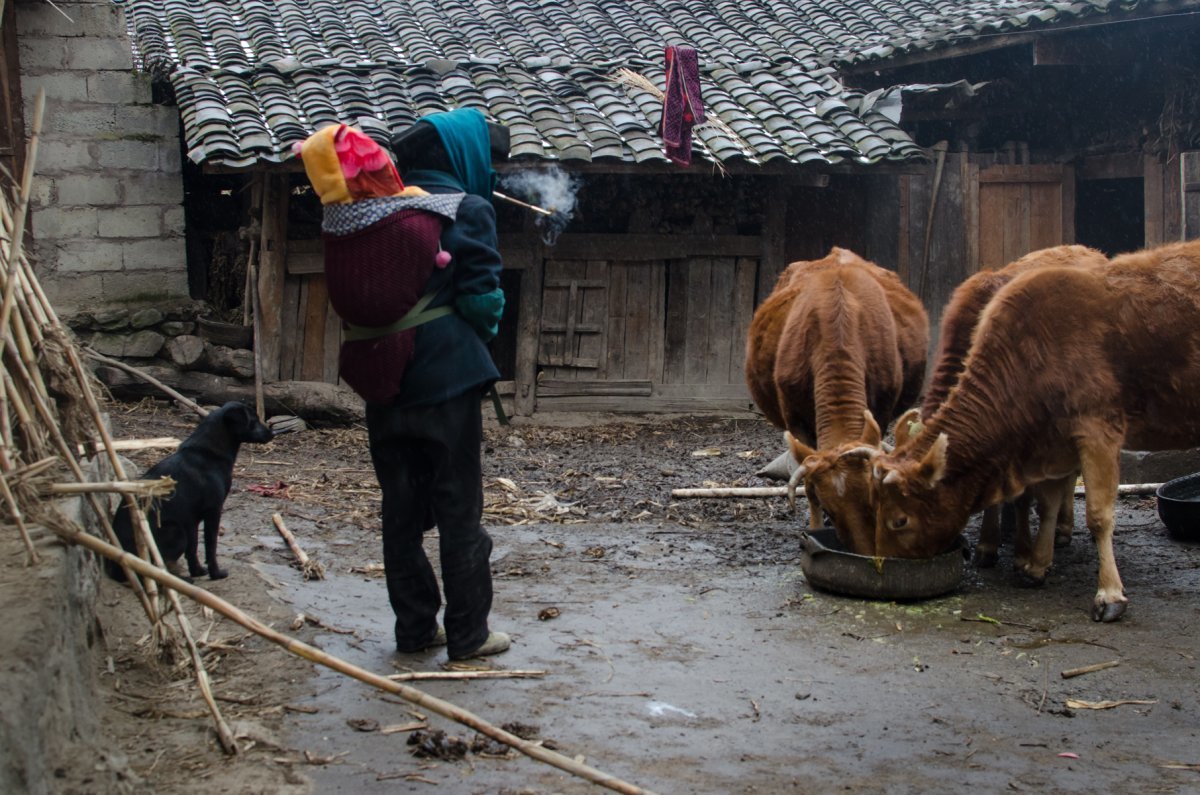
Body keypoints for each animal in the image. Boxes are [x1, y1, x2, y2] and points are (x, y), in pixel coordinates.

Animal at [106, 401, 274, 583]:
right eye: (254, 420)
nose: (272, 433)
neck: (208, 453)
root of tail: (114, 567)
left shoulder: (191, 520)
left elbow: (193, 548)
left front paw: (197, 571)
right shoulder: (213, 511)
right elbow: (210, 546)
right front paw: (216, 573)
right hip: (176, 532)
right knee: (153, 567)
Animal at [744, 247, 931, 554]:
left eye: (872, 499)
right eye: (830, 508)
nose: (863, 549)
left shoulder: (881, 412)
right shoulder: (795, 419)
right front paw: (814, 529)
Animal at [868, 240, 1200, 624]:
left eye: (900, 520)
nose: (882, 567)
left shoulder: (1097, 431)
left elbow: (1098, 515)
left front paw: (1108, 594)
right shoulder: (1054, 439)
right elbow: (1047, 502)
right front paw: (1035, 564)